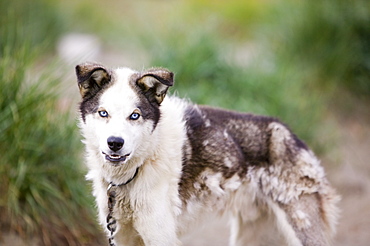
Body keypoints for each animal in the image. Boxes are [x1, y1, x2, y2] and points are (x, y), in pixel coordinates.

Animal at [76, 62, 340, 245]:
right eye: (103, 113)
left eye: (135, 115)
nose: (115, 143)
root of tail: (289, 133)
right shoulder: (123, 236)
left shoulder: (160, 236)